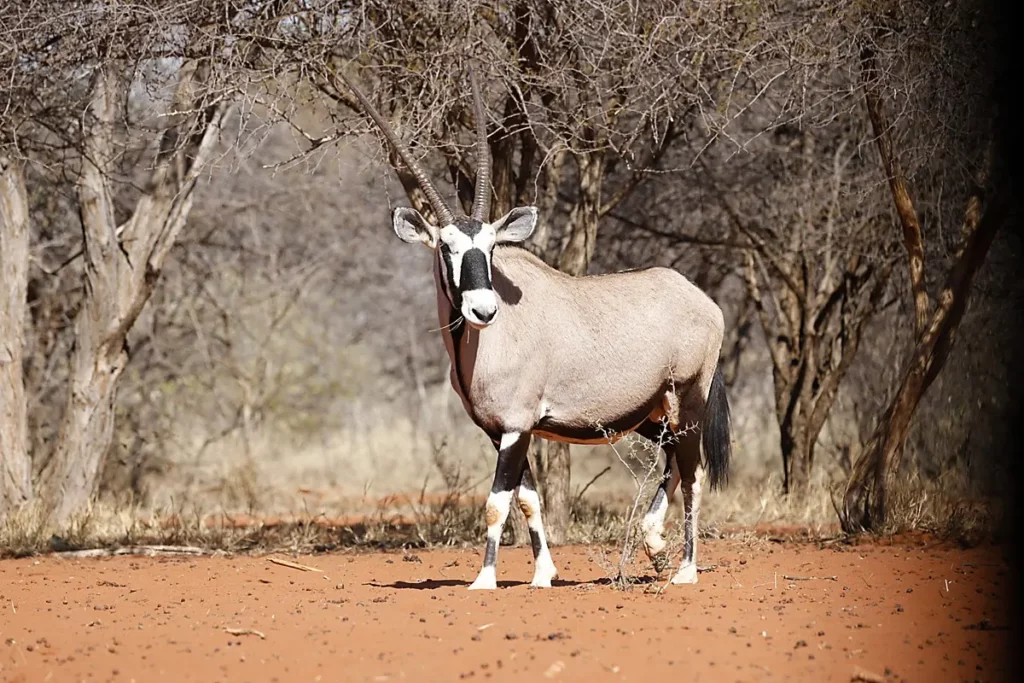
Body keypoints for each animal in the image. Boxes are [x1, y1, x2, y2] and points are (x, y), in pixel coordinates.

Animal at [342, 66, 729, 589]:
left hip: (687, 399)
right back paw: (653, 544)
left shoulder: (517, 425)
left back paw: (685, 569)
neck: (478, 346)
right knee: (672, 459)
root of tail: (702, 300)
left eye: (490, 246)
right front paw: (543, 574)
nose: (484, 309)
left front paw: (484, 580)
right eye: (446, 247)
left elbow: (496, 502)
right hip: (651, 414)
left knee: (693, 472)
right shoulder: (501, 430)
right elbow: (527, 496)